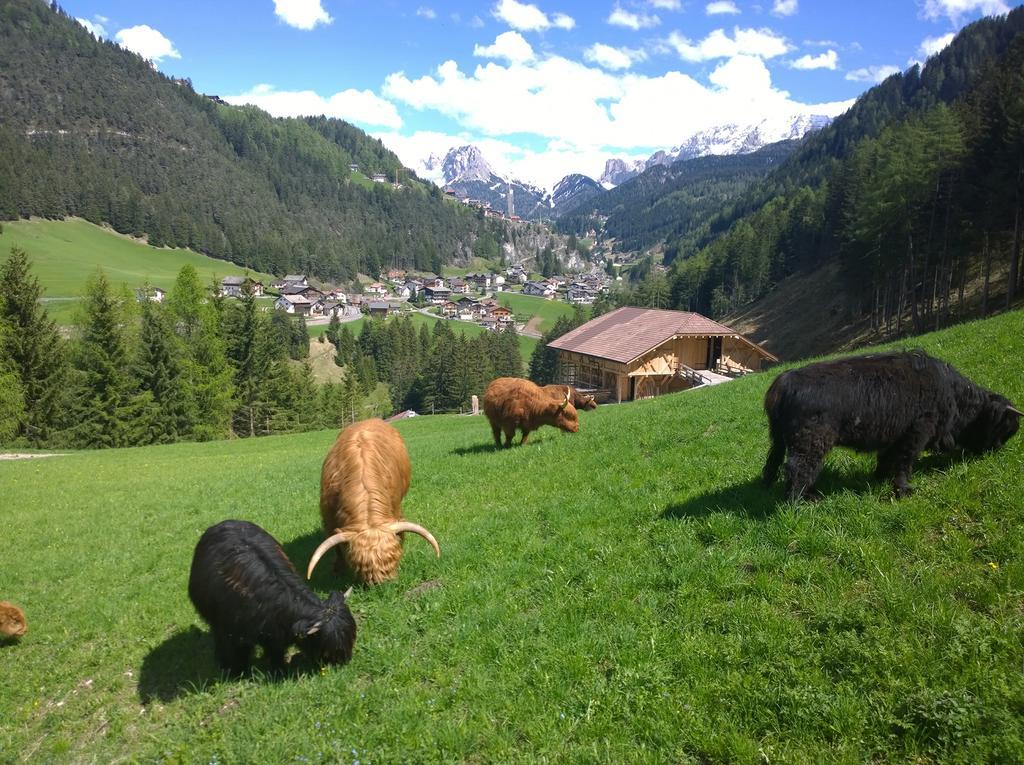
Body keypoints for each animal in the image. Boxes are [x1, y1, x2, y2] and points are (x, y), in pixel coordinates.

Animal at [188, 520, 356, 675]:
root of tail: (222, 523)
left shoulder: (274, 634)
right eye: (329, 645)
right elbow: (235, 652)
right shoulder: (230, 632)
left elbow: (276, 652)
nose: (344, 661)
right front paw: (236, 672)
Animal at [305, 419, 438, 585]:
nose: (382, 585)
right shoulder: (328, 519)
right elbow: (337, 548)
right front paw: (338, 570)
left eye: (394, 558)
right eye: (359, 565)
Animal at [765, 352, 1019, 501]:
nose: (995, 451)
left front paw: (880, 477)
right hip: (811, 443)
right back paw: (802, 500)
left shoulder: (894, 436)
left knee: (775, 462)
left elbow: (887, 458)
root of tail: (785, 380)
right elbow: (905, 461)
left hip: (779, 438)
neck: (953, 393)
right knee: (799, 469)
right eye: (1004, 427)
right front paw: (903, 490)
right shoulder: (917, 432)